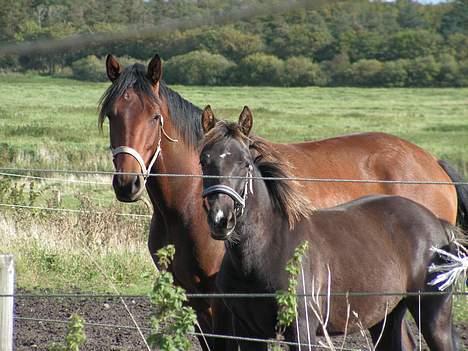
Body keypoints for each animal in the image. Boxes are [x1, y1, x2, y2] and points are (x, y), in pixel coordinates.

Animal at [199, 107, 458, 351]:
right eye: (203, 161)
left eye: (245, 163)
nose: (221, 219)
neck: (266, 248)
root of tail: (437, 224)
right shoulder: (248, 331)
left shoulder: (302, 328)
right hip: (387, 315)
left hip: (434, 315)